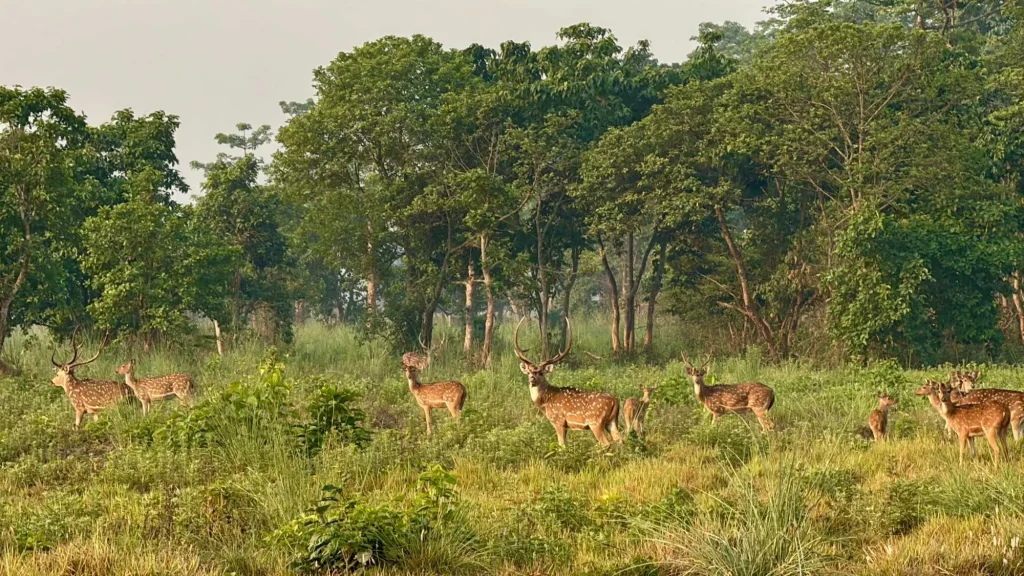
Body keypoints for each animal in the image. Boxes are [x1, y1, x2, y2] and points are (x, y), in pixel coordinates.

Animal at [513, 317, 622, 447]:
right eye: (529, 372)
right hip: (612, 421)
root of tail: (615, 401)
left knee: (606, 443)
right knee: (621, 440)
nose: (532, 379)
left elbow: (561, 444)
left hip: (596, 422)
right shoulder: (566, 425)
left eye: (541, 372)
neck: (545, 402)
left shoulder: (558, 421)